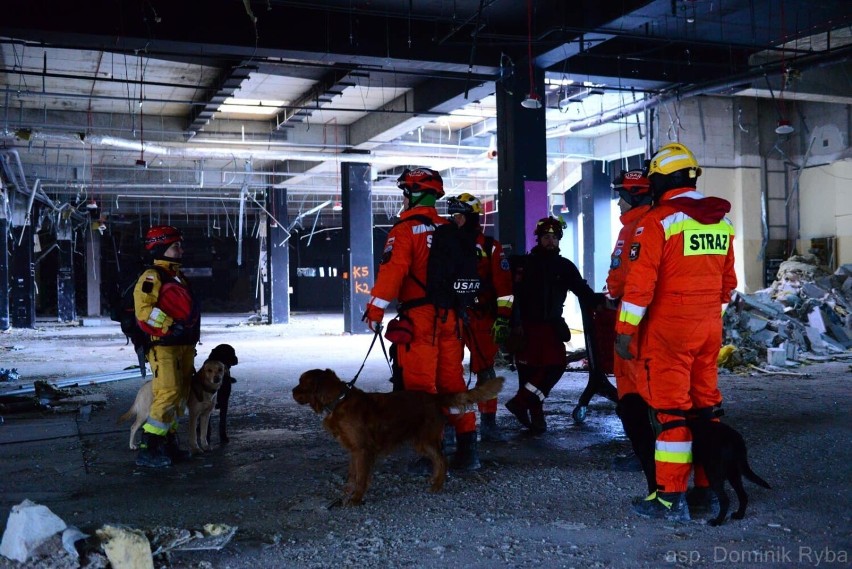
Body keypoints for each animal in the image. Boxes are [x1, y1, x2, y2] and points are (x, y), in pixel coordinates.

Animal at [294, 368, 506, 506]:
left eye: (302, 383)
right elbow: (353, 475)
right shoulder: (354, 450)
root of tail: (434, 397)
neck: (339, 400)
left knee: (442, 460)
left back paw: (437, 485)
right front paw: (347, 494)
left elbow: (361, 477)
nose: (292, 391)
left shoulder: (363, 449)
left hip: (425, 439)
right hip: (422, 441)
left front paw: (356, 499)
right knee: (438, 460)